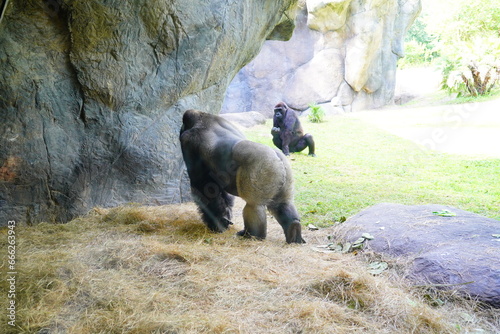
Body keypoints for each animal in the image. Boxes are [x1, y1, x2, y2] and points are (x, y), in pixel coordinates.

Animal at [180, 111, 304, 244]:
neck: (201, 119)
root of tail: (277, 157)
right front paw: (223, 216)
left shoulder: (188, 140)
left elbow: (204, 186)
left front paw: (217, 221)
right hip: (285, 171)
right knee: (283, 204)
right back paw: (293, 228)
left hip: (262, 167)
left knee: (253, 205)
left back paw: (252, 235)